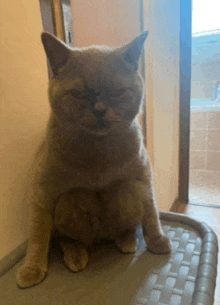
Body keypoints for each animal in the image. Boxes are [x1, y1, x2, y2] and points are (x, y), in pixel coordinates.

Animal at [16, 30, 171, 288]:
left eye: (117, 92)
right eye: (79, 94)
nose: (99, 109)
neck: (97, 155)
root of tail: (100, 237)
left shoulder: (142, 176)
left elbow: (151, 214)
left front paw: (158, 241)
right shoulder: (43, 193)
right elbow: (37, 235)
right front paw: (31, 268)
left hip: (128, 189)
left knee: (127, 222)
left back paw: (127, 240)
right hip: (70, 199)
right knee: (66, 237)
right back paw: (75, 254)